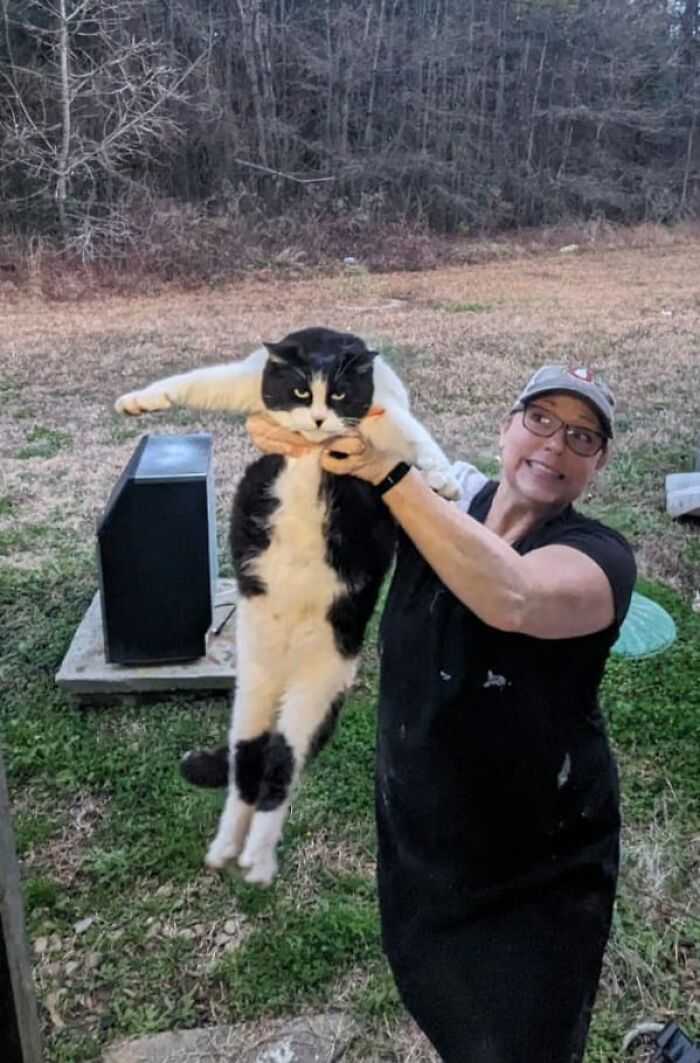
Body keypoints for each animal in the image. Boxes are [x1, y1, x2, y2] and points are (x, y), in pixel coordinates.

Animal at [116, 327, 461, 884]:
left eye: (338, 396)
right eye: (300, 393)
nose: (318, 419)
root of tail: (286, 663)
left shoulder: (382, 413)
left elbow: (416, 439)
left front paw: (443, 478)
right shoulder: (246, 383)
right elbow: (192, 382)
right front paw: (138, 401)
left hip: (316, 692)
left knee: (280, 771)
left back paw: (256, 861)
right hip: (251, 693)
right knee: (247, 768)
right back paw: (227, 849)